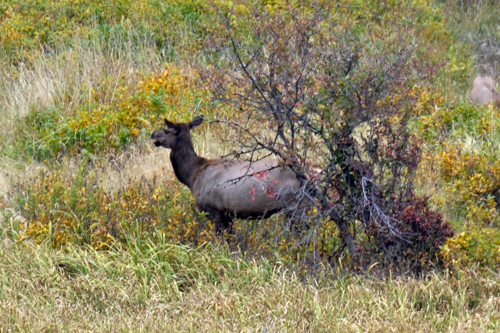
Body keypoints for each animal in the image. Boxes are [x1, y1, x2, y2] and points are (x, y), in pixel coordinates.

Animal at [150, 116, 302, 233]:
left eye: (166, 130)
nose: (152, 134)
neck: (192, 176)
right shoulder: (228, 214)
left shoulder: (215, 210)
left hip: (293, 203)